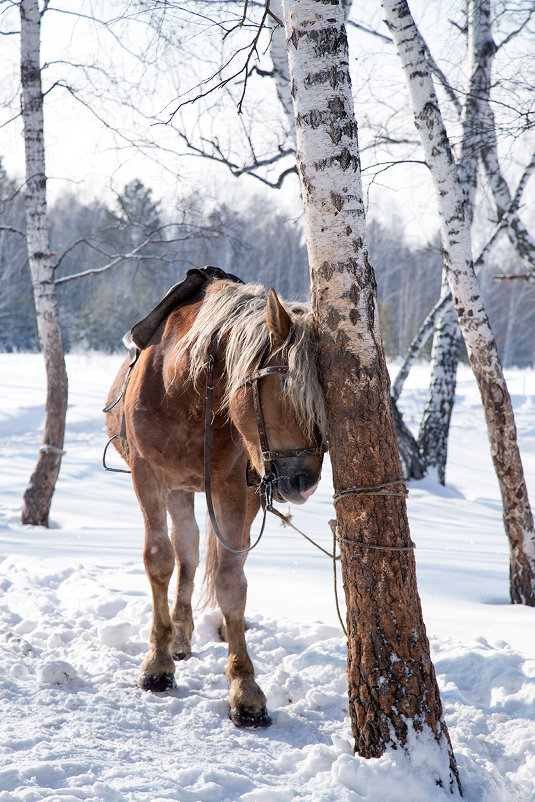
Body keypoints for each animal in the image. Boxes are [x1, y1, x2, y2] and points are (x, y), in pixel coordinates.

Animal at [104, 274, 326, 724]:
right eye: (286, 390)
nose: (306, 482)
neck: (183, 388)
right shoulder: (148, 477)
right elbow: (159, 559)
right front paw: (157, 663)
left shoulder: (233, 487)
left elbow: (230, 581)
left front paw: (244, 687)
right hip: (177, 489)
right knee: (185, 549)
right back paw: (177, 636)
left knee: (211, 555)